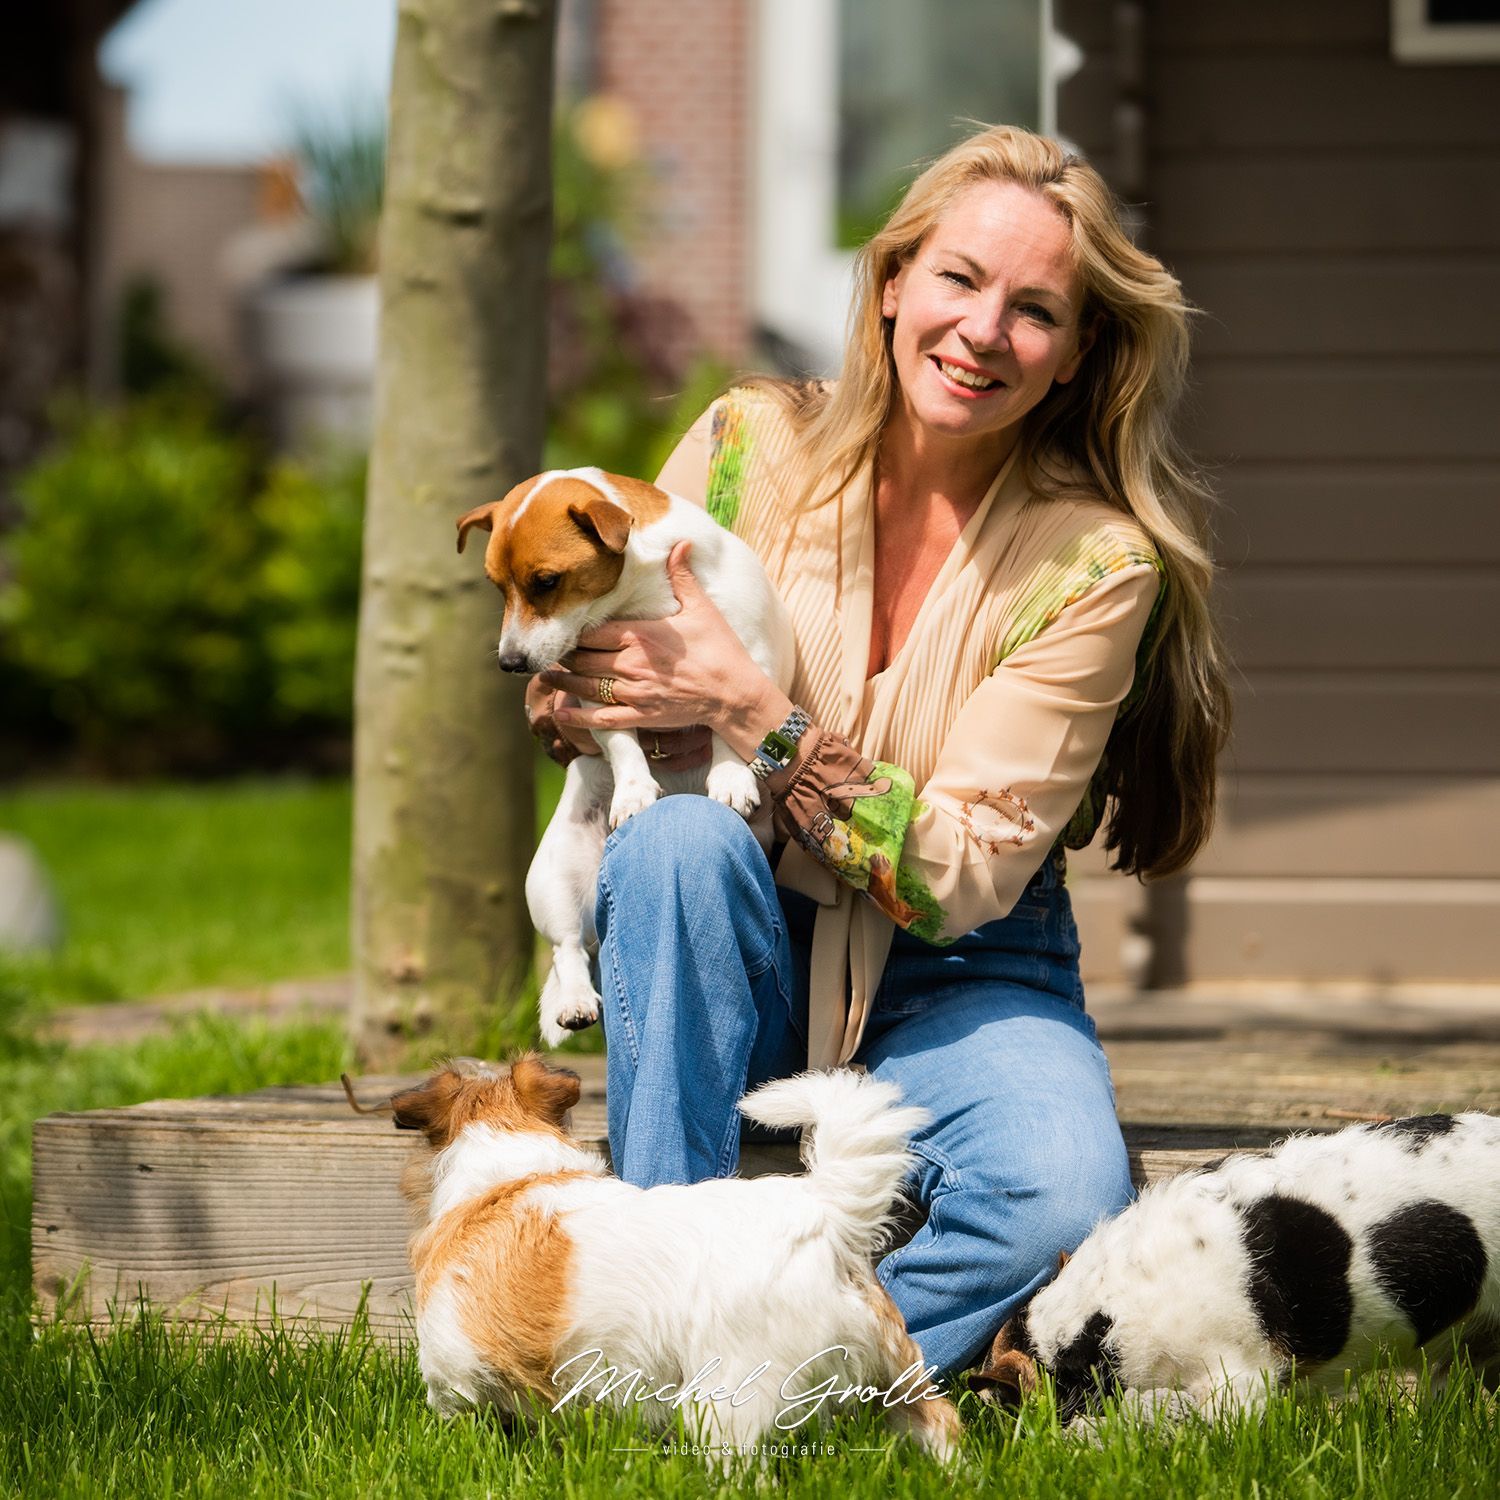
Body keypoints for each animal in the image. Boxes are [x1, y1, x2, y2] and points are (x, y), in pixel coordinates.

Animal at [377, 1054, 962, 1461]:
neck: (511, 1171)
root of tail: (826, 1211)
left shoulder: (451, 1370)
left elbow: (458, 1417)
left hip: (728, 1400)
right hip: (896, 1374)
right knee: (938, 1424)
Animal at [456, 466, 795, 1047]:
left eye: (546, 581)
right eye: (497, 587)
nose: (510, 662)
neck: (639, 601)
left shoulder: (745, 660)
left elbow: (727, 723)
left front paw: (730, 778)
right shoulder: (596, 689)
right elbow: (622, 743)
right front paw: (635, 790)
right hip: (552, 880)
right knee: (567, 949)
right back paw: (574, 1001)